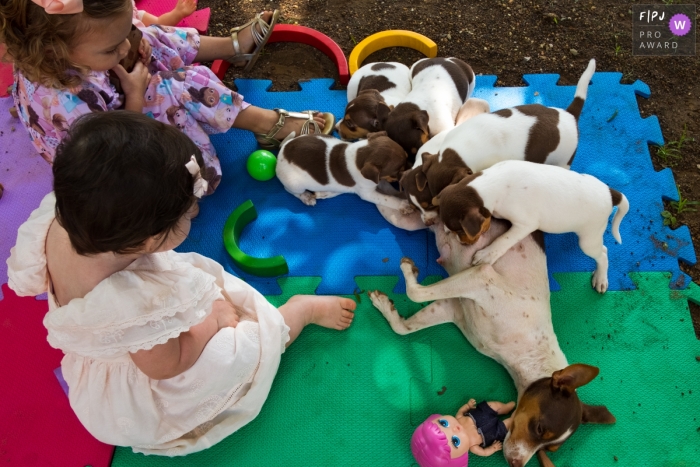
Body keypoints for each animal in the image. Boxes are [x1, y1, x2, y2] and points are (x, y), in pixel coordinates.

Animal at [274, 132, 410, 212]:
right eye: (398, 170)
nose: (409, 171)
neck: (359, 156)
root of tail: (282, 150)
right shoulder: (367, 192)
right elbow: (387, 199)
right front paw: (404, 205)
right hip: (294, 184)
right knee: (291, 191)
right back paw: (307, 197)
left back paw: (325, 193)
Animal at [370, 219, 616, 467]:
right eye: (539, 429)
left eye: (549, 449)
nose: (516, 464)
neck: (530, 355)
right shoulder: (481, 278)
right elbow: (415, 293)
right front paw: (407, 272)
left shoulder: (454, 308)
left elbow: (403, 326)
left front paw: (386, 308)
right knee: (603, 250)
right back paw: (601, 276)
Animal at [438, 161, 628, 292]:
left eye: (459, 230)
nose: (460, 241)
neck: (492, 185)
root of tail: (610, 193)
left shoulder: (525, 224)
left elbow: (503, 240)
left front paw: (487, 254)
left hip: (588, 240)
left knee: (603, 253)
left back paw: (600, 278)